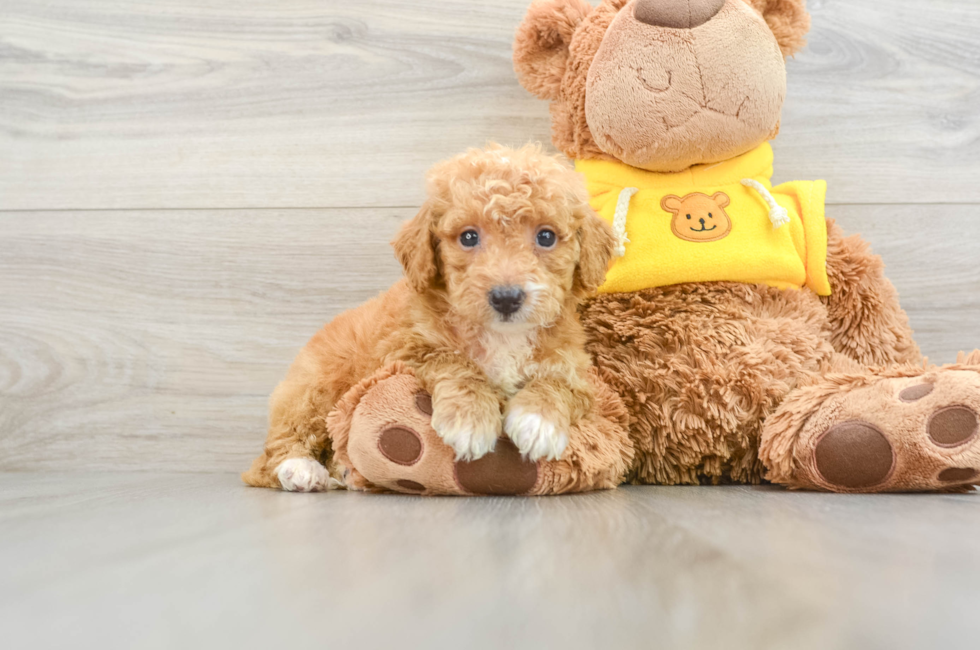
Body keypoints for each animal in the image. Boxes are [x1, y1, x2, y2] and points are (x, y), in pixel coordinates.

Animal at [243, 144, 612, 492]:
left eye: (546, 236)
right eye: (468, 237)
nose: (506, 298)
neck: (502, 336)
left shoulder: (574, 368)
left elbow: (559, 384)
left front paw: (538, 422)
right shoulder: (403, 349)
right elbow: (453, 360)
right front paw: (471, 419)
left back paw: (346, 472)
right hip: (314, 388)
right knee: (276, 450)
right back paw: (301, 470)